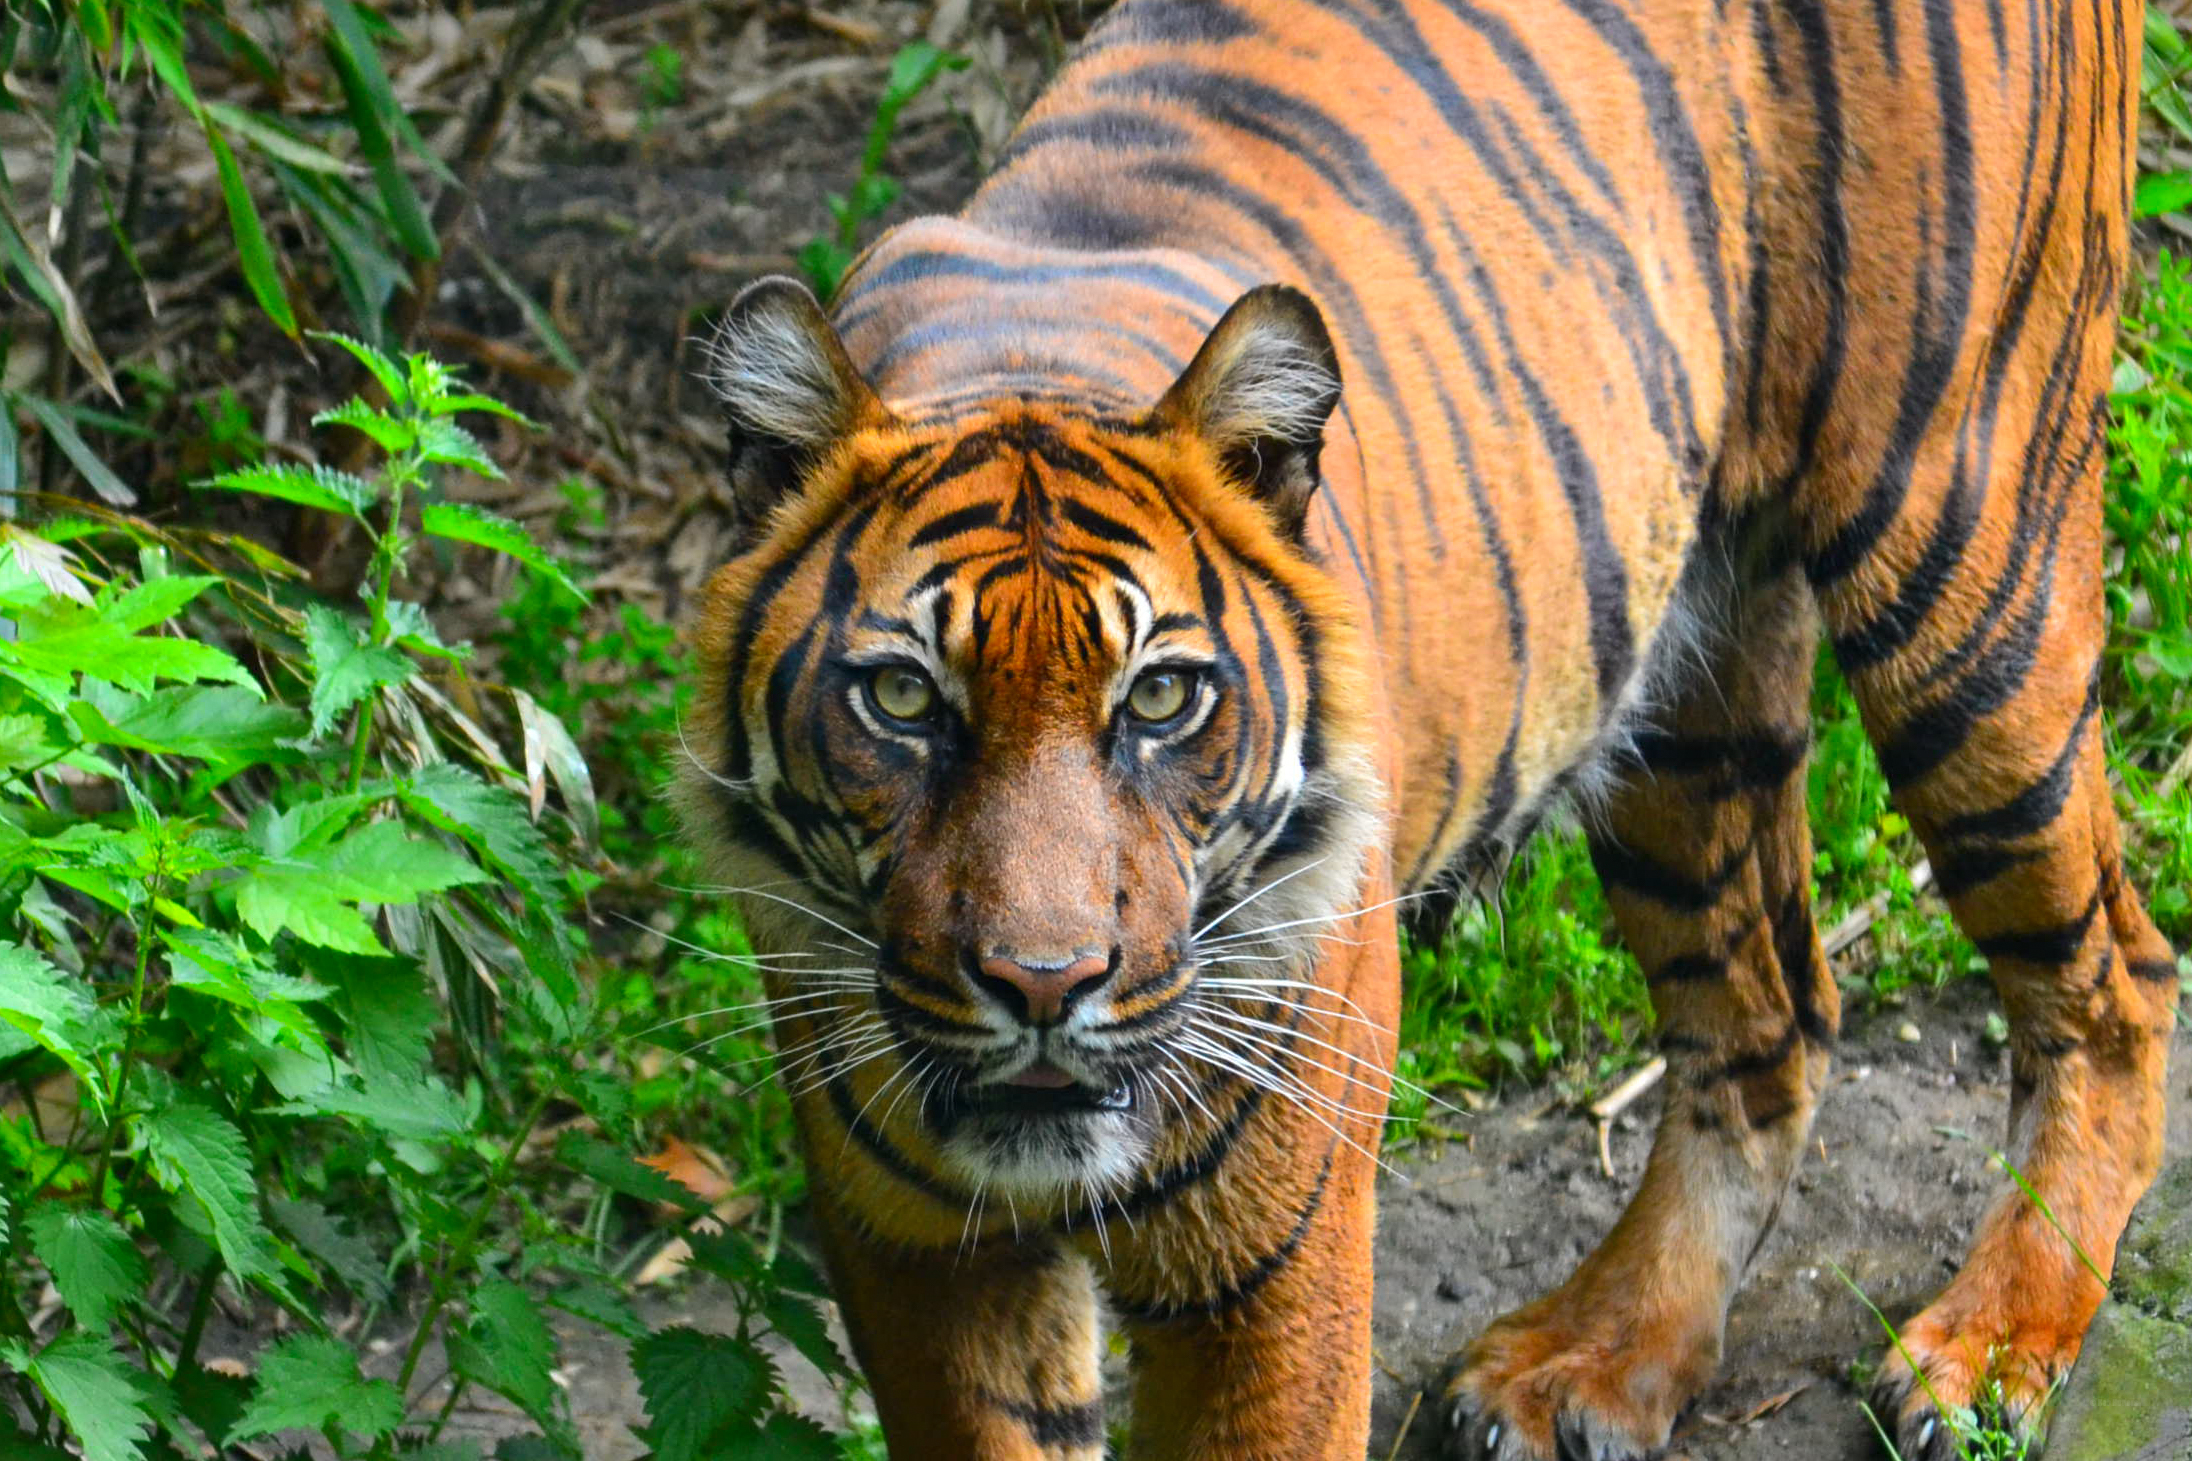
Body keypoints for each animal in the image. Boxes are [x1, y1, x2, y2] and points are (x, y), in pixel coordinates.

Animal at [675, 0, 2180, 1454]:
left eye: (1159, 696)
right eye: (902, 698)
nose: (1043, 985)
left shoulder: (1269, 1273)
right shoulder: (918, 1260)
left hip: (1965, 558)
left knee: (2117, 977)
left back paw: (1987, 1352)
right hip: (1678, 697)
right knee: (1771, 1020)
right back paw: (1594, 1358)